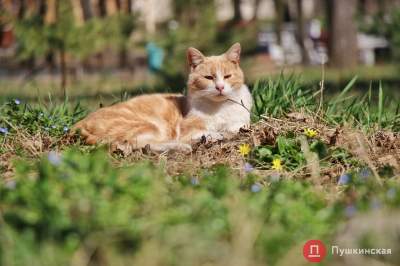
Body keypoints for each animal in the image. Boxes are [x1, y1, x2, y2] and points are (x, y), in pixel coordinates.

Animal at [72, 43, 252, 152]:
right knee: (137, 143)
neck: (220, 108)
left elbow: (239, 126)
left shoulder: (242, 120)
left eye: (227, 76)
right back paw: (182, 146)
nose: (220, 87)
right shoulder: (188, 129)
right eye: (208, 77)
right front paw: (215, 135)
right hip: (146, 126)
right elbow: (208, 132)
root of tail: (80, 122)